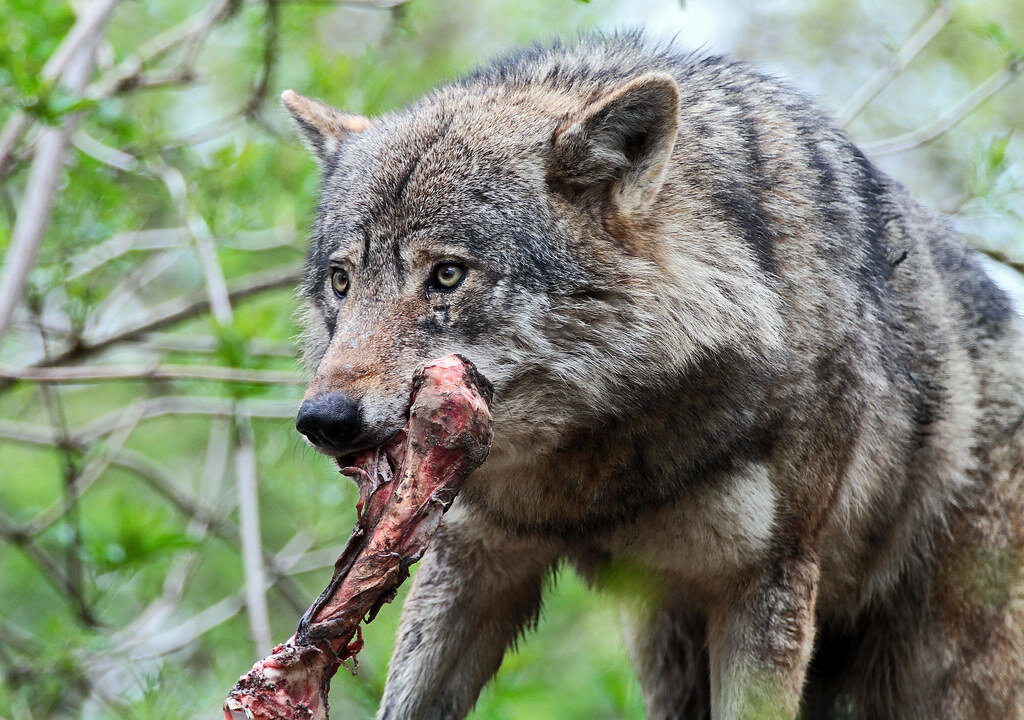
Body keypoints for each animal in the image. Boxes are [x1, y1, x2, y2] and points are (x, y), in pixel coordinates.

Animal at [280, 30, 1024, 716]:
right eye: (342, 282)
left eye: (446, 275)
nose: (323, 421)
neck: (593, 473)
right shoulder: (472, 561)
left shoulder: (768, 584)